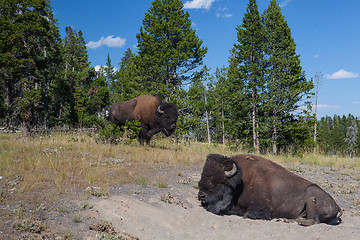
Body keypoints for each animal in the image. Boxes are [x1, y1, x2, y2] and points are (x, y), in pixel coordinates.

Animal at [198, 154, 342, 225]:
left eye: (220, 182)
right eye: (202, 175)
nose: (201, 195)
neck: (241, 182)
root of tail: (336, 205)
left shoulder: (261, 209)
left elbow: (245, 213)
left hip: (311, 195)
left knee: (313, 221)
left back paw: (288, 221)